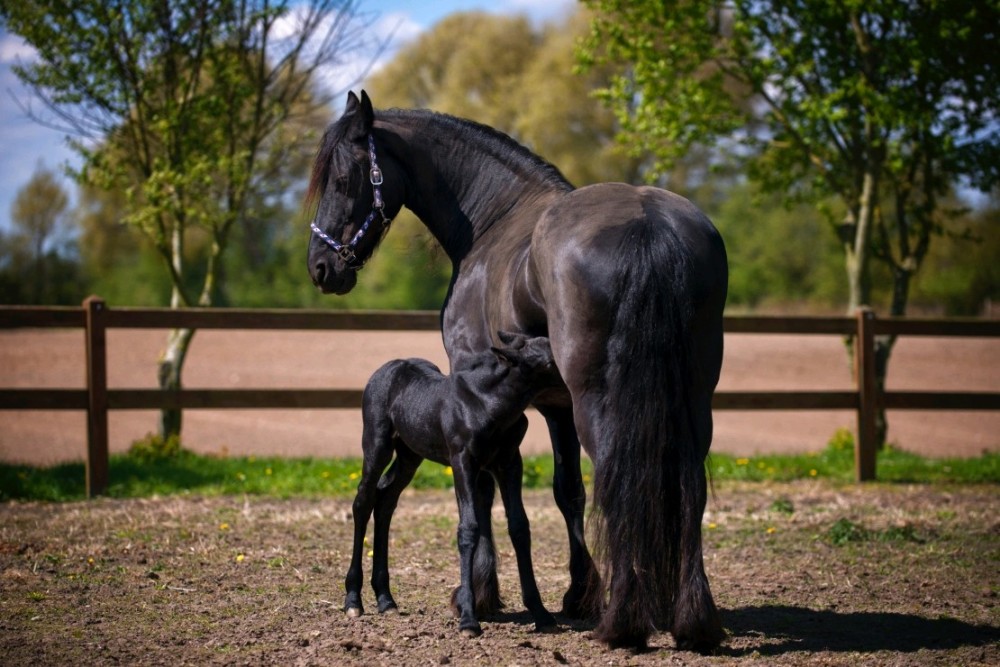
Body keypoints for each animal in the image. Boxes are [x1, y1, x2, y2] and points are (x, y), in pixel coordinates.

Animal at [344, 332, 564, 636]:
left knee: (385, 499)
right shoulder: (462, 461)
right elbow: (468, 529)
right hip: (377, 445)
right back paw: (353, 600)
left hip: (410, 455)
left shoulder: (510, 462)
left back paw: (386, 599)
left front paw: (541, 613)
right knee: (363, 502)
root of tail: (386, 369)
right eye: (550, 360)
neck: (488, 403)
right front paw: (469, 619)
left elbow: (520, 526)